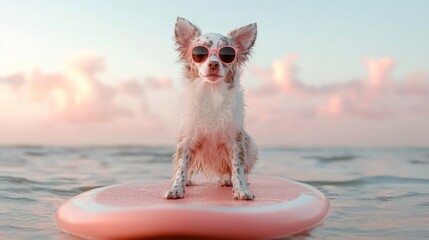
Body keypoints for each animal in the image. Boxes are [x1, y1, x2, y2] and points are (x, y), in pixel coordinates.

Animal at [164, 17, 258, 201]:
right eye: (200, 53)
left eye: (226, 55)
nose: (214, 63)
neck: (211, 92)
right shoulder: (186, 139)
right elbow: (181, 166)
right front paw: (177, 188)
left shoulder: (235, 140)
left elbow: (238, 168)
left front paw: (241, 189)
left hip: (250, 145)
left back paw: (226, 180)